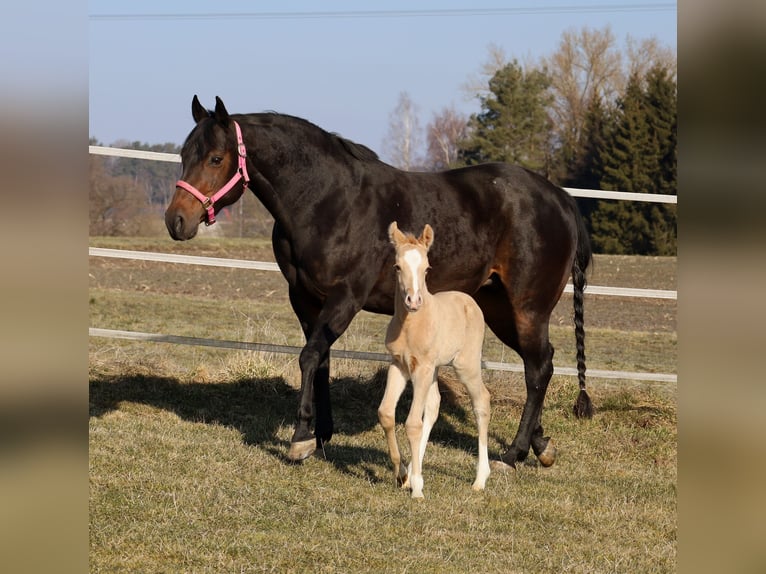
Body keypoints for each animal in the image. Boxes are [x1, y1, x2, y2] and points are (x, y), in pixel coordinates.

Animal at [164, 95, 592, 468]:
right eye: (184, 156)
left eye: (216, 158)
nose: (176, 220)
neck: (327, 201)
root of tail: (561, 199)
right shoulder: (305, 299)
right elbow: (320, 360)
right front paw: (321, 435)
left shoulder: (345, 297)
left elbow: (308, 356)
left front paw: (301, 439)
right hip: (500, 308)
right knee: (540, 363)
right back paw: (540, 445)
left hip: (527, 307)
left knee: (539, 368)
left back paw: (513, 454)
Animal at [382, 222, 496, 500]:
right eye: (397, 266)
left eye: (427, 268)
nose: (413, 301)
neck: (411, 325)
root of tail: (469, 300)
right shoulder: (399, 366)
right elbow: (387, 414)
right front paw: (403, 475)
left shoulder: (421, 369)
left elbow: (412, 423)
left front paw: (416, 489)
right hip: (434, 370)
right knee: (433, 406)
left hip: (465, 365)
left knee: (481, 402)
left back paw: (480, 479)